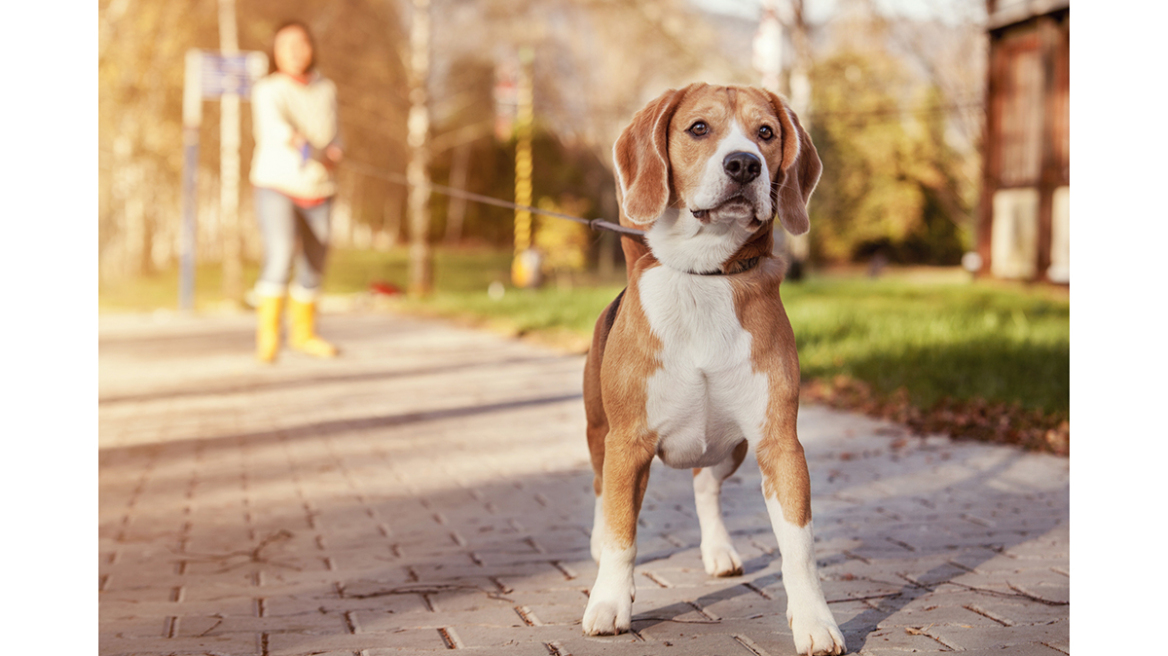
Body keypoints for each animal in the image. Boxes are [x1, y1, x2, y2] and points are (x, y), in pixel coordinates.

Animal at [588, 82, 845, 653]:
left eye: (766, 132)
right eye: (699, 128)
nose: (744, 164)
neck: (705, 275)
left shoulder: (779, 444)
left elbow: (800, 547)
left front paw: (815, 621)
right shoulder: (628, 443)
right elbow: (621, 535)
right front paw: (609, 602)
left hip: (732, 448)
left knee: (705, 485)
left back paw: (718, 550)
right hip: (600, 434)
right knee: (603, 492)